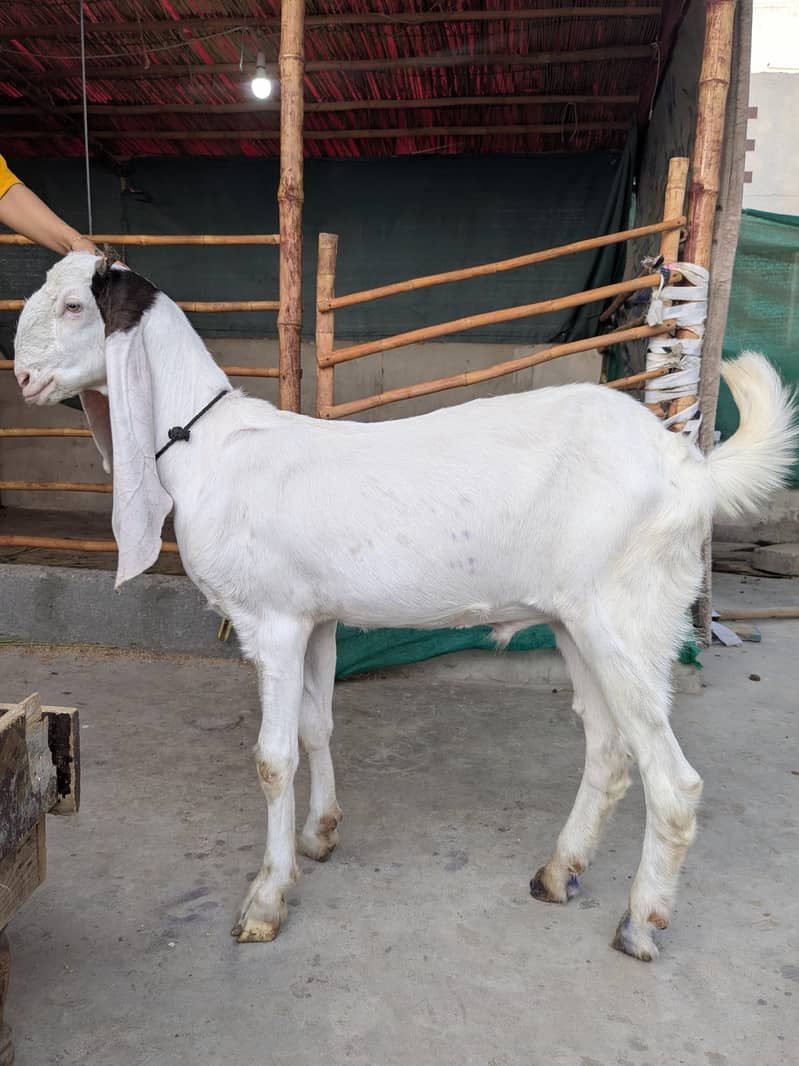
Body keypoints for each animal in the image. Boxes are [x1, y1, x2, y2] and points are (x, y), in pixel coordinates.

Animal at [14, 251, 797, 960]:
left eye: (77, 306)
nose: (23, 377)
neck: (207, 444)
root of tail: (690, 468)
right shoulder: (315, 618)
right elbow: (316, 728)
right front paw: (319, 834)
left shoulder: (271, 620)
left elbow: (272, 758)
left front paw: (266, 899)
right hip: (578, 622)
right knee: (607, 751)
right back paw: (557, 872)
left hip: (627, 618)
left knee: (675, 781)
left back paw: (639, 923)